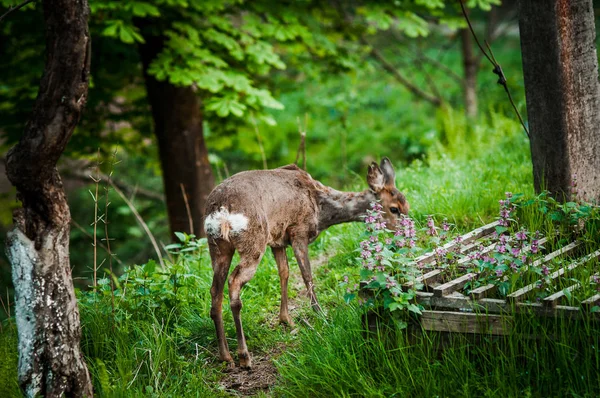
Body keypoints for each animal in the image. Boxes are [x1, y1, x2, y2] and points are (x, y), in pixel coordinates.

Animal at [206, 157, 408, 368]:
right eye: (394, 208)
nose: (406, 232)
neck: (321, 208)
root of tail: (221, 212)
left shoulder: (277, 240)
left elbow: (284, 272)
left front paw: (286, 319)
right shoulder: (299, 230)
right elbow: (307, 275)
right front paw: (320, 314)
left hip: (218, 246)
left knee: (215, 289)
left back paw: (225, 356)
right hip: (253, 241)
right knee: (234, 281)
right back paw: (244, 356)